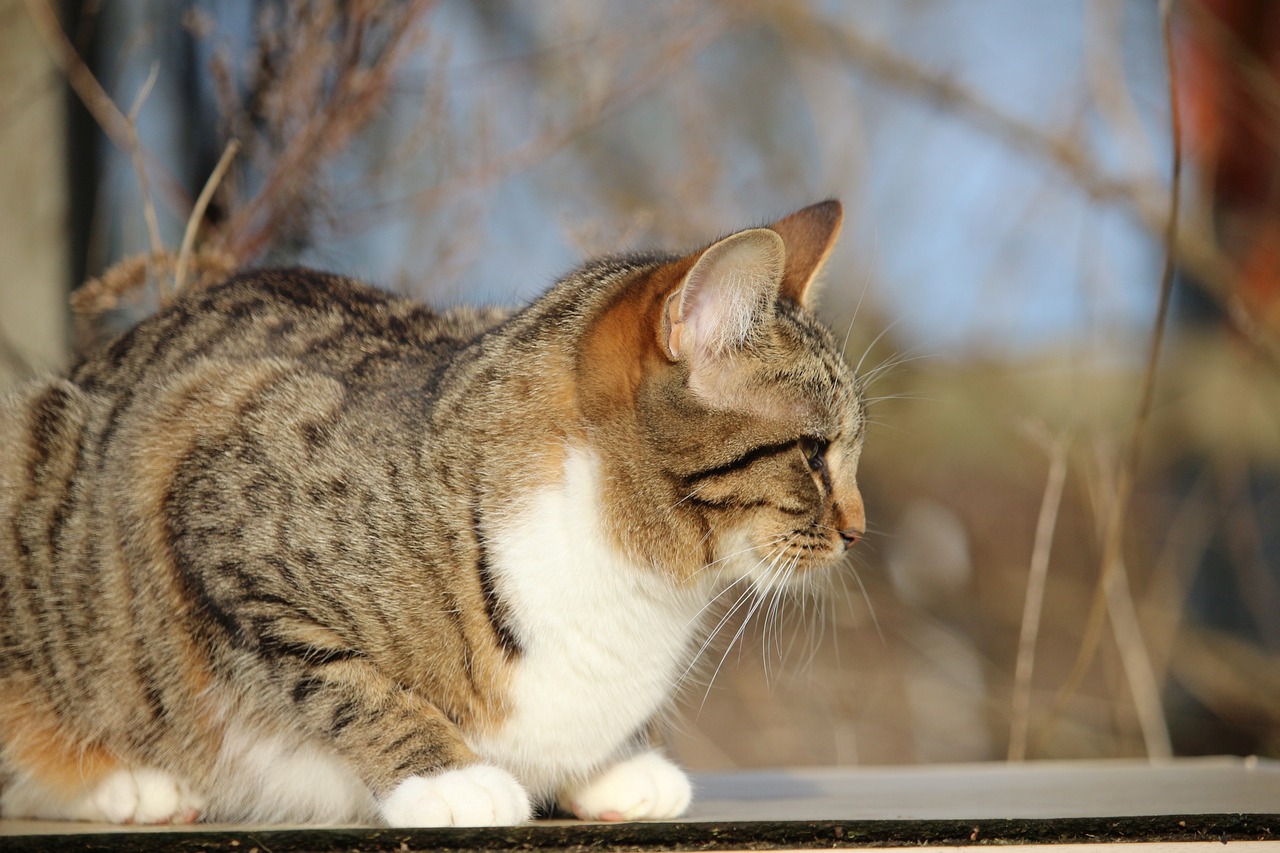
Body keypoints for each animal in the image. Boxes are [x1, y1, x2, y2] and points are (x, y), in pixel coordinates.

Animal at [0, 199, 870, 824]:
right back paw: (121, 780)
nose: (859, 529)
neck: (637, 579)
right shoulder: (212, 506)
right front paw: (447, 776)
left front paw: (617, 763)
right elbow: (344, 678)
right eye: (815, 453)